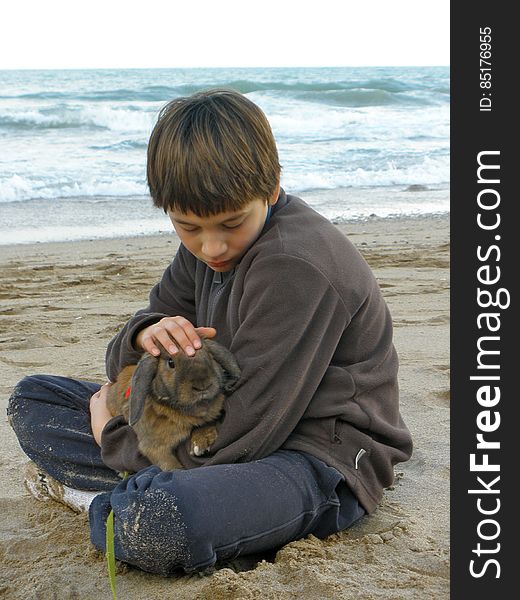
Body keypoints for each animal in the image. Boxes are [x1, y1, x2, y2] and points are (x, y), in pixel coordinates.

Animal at [108, 338, 243, 468]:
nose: (202, 385)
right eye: (171, 362)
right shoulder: (154, 448)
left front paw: (201, 443)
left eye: (209, 355)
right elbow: (170, 466)